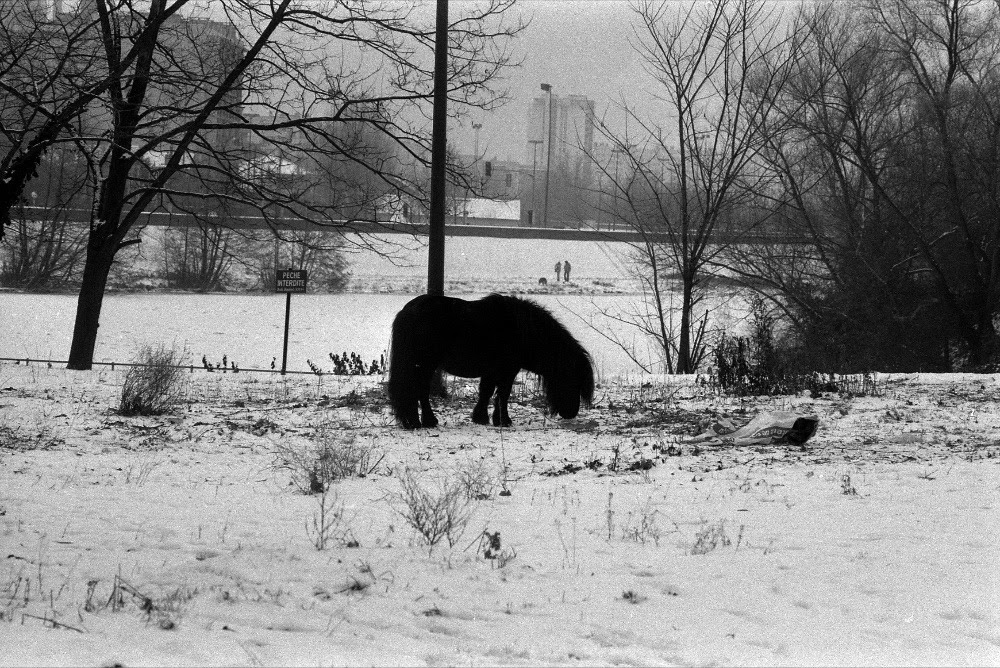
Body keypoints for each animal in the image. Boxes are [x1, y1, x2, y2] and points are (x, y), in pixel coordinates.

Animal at [388, 294, 592, 430]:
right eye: (574, 381)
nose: (571, 413)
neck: (523, 331)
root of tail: (408, 311)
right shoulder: (508, 370)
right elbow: (503, 394)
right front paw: (503, 420)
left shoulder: (491, 371)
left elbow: (486, 392)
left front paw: (481, 418)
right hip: (424, 364)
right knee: (419, 390)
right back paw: (424, 422)